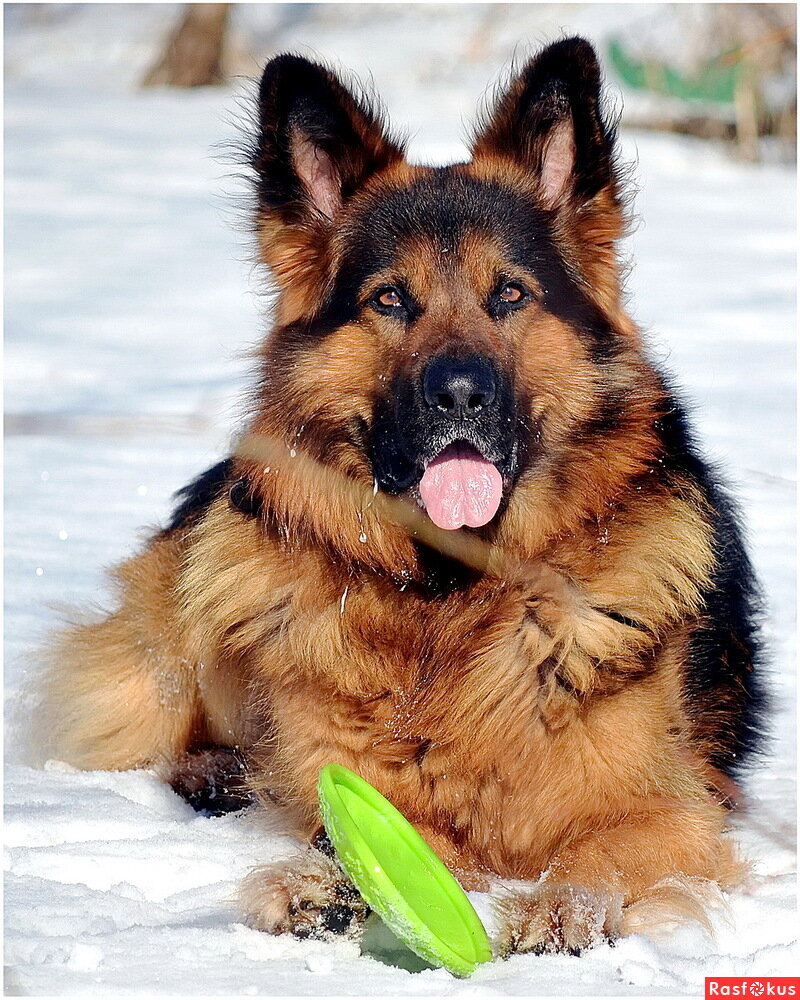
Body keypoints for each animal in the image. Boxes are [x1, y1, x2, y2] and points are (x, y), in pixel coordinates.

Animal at [37, 39, 764, 956]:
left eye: (510, 295)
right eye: (390, 299)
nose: (459, 394)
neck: (454, 597)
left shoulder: (674, 810)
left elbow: (603, 851)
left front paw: (565, 906)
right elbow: (369, 834)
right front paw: (331, 886)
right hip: (198, 599)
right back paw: (217, 769)